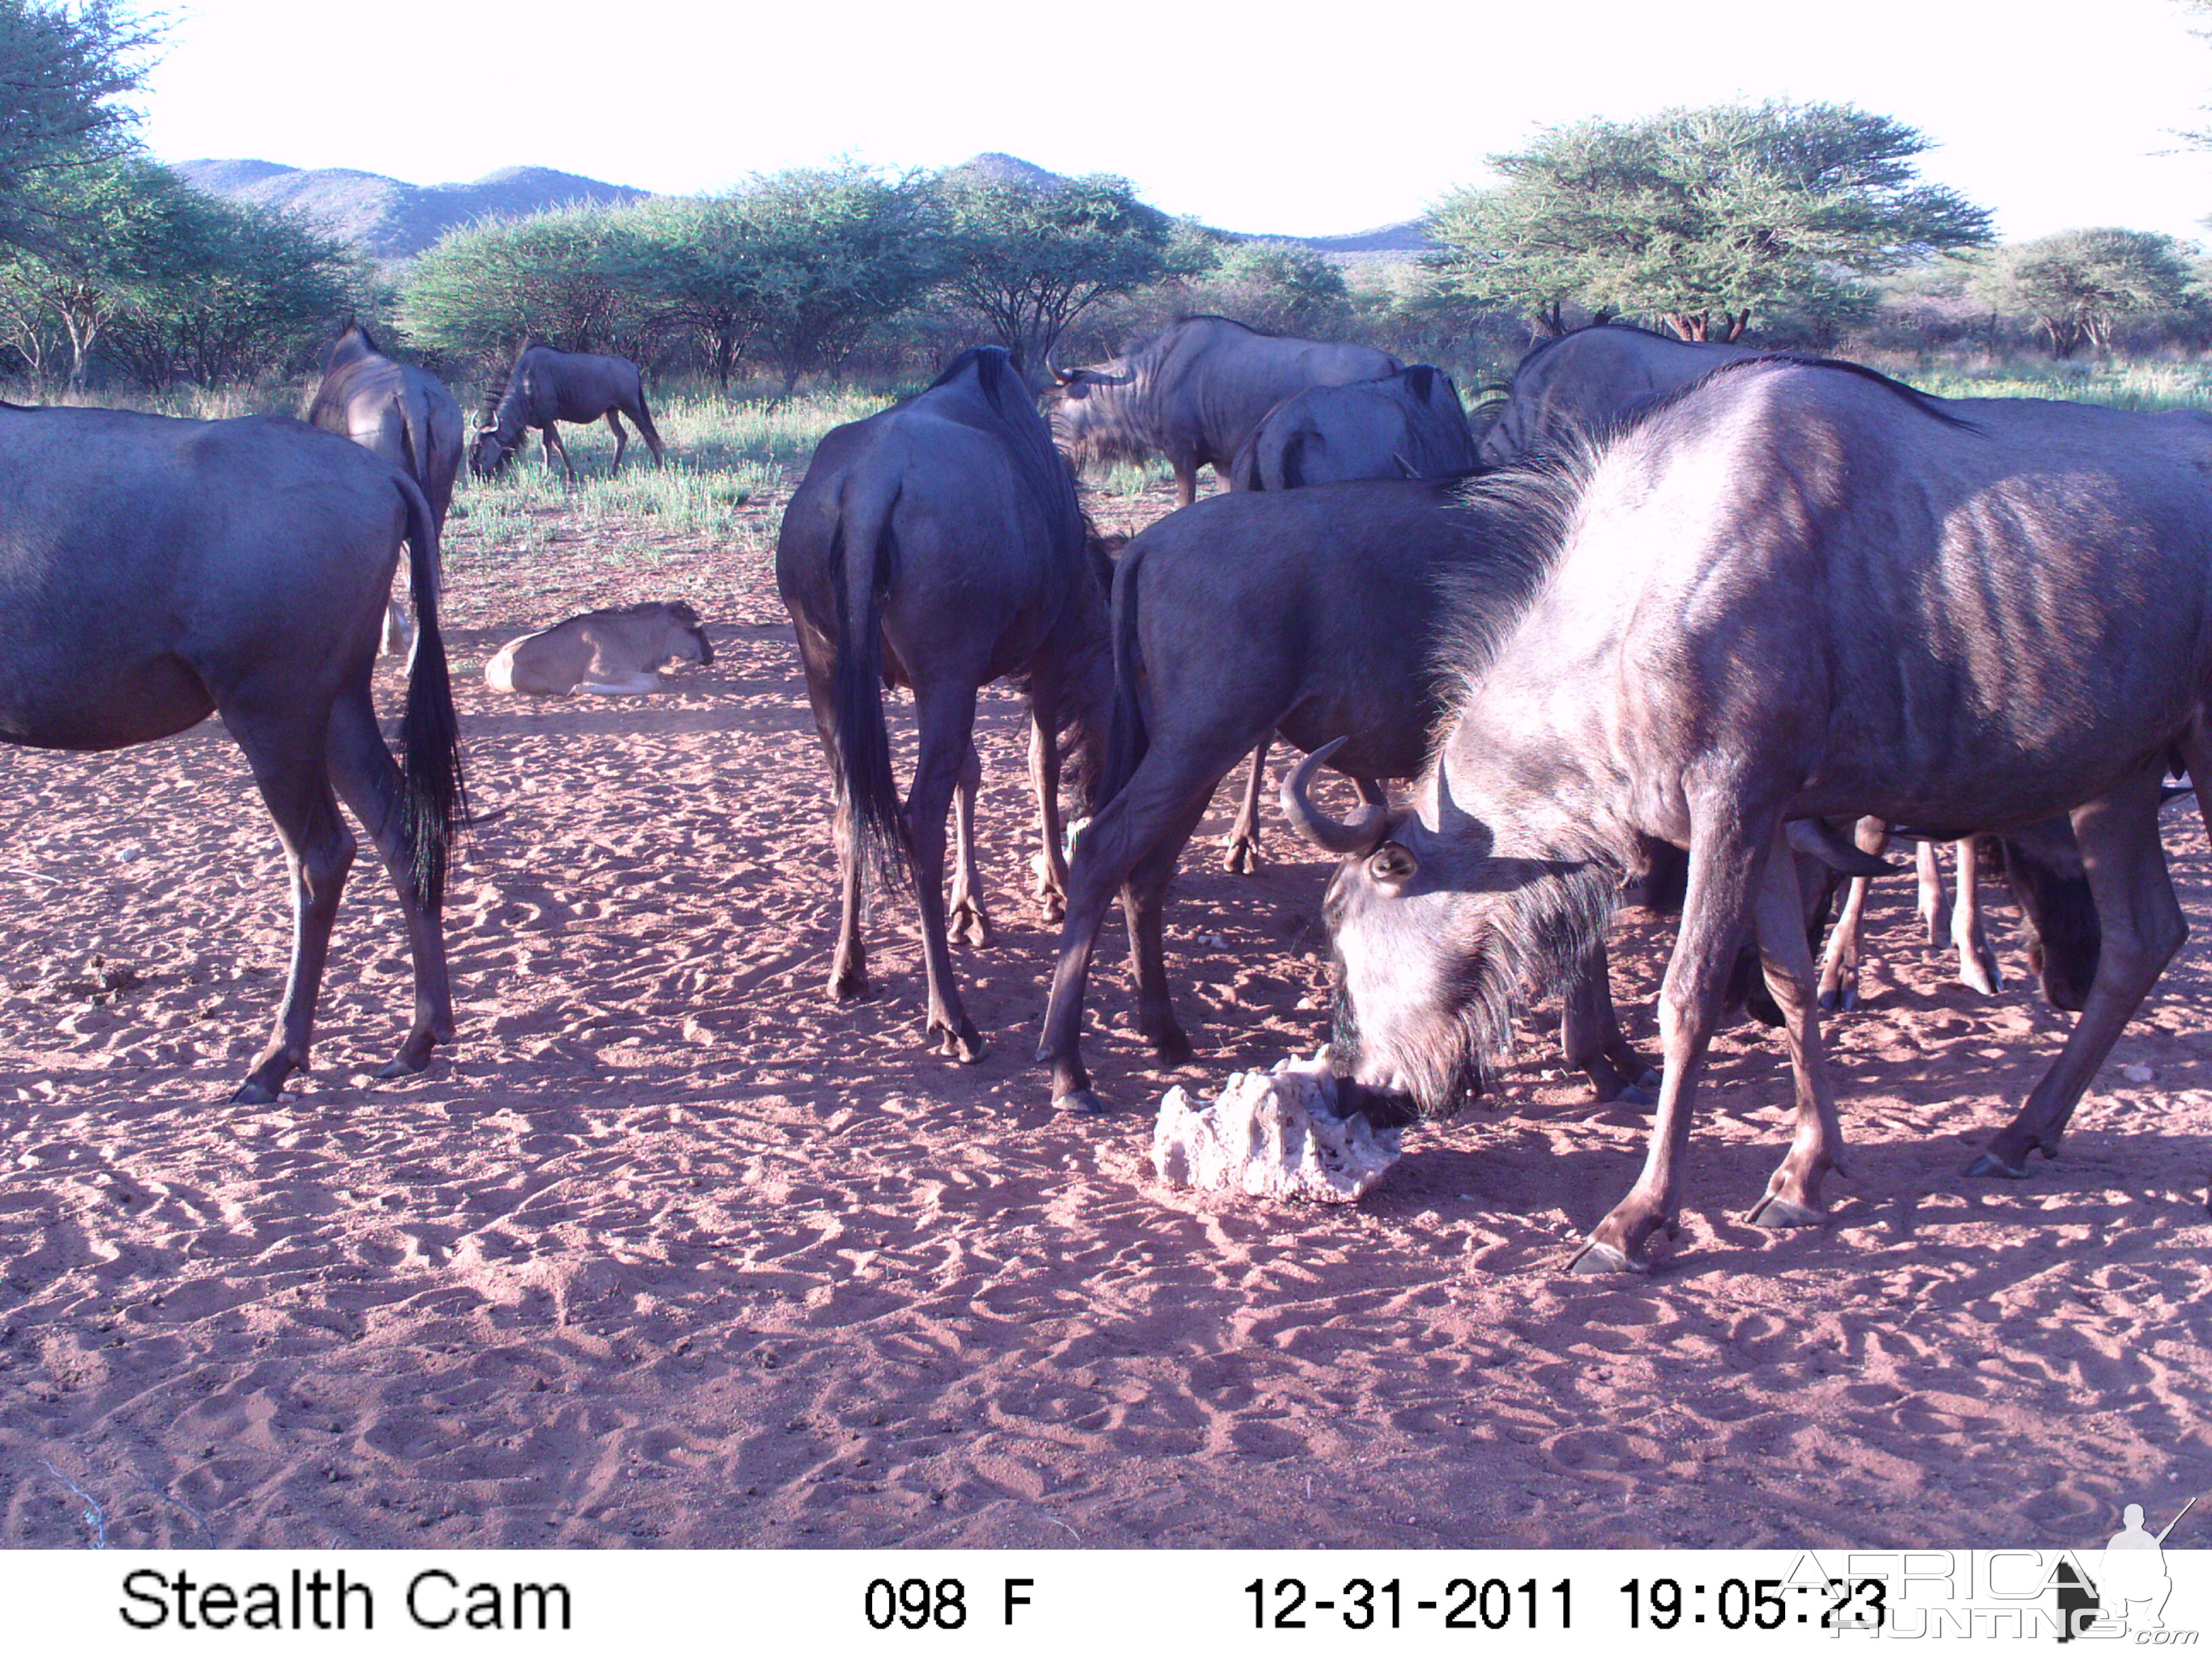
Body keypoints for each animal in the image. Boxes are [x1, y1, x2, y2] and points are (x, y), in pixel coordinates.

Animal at [489, 606, 712, 694]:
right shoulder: (599, 672)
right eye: (696, 630)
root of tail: (492, 665)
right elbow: (653, 682)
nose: (710, 657)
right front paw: (579, 688)